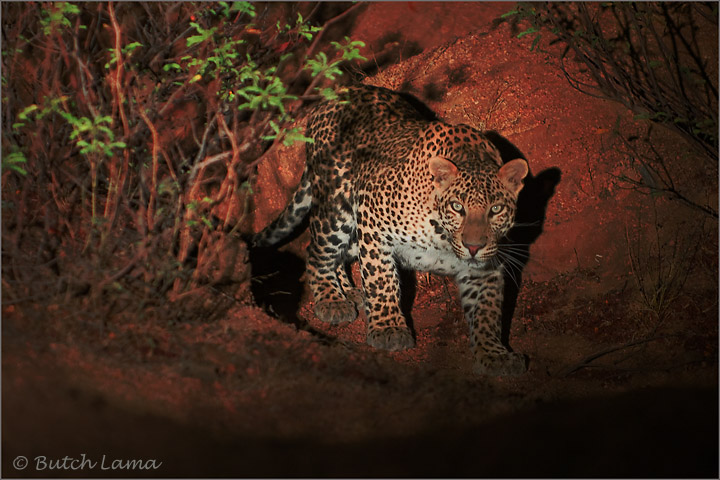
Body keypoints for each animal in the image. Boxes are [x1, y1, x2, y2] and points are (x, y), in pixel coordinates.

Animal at [253, 84, 529, 376]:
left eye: (496, 209)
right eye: (457, 207)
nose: (473, 247)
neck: (443, 236)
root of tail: (334, 93)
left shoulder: (486, 267)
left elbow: (487, 310)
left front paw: (494, 354)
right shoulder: (373, 221)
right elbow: (381, 280)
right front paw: (388, 329)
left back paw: (350, 292)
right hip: (337, 208)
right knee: (317, 251)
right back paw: (332, 299)